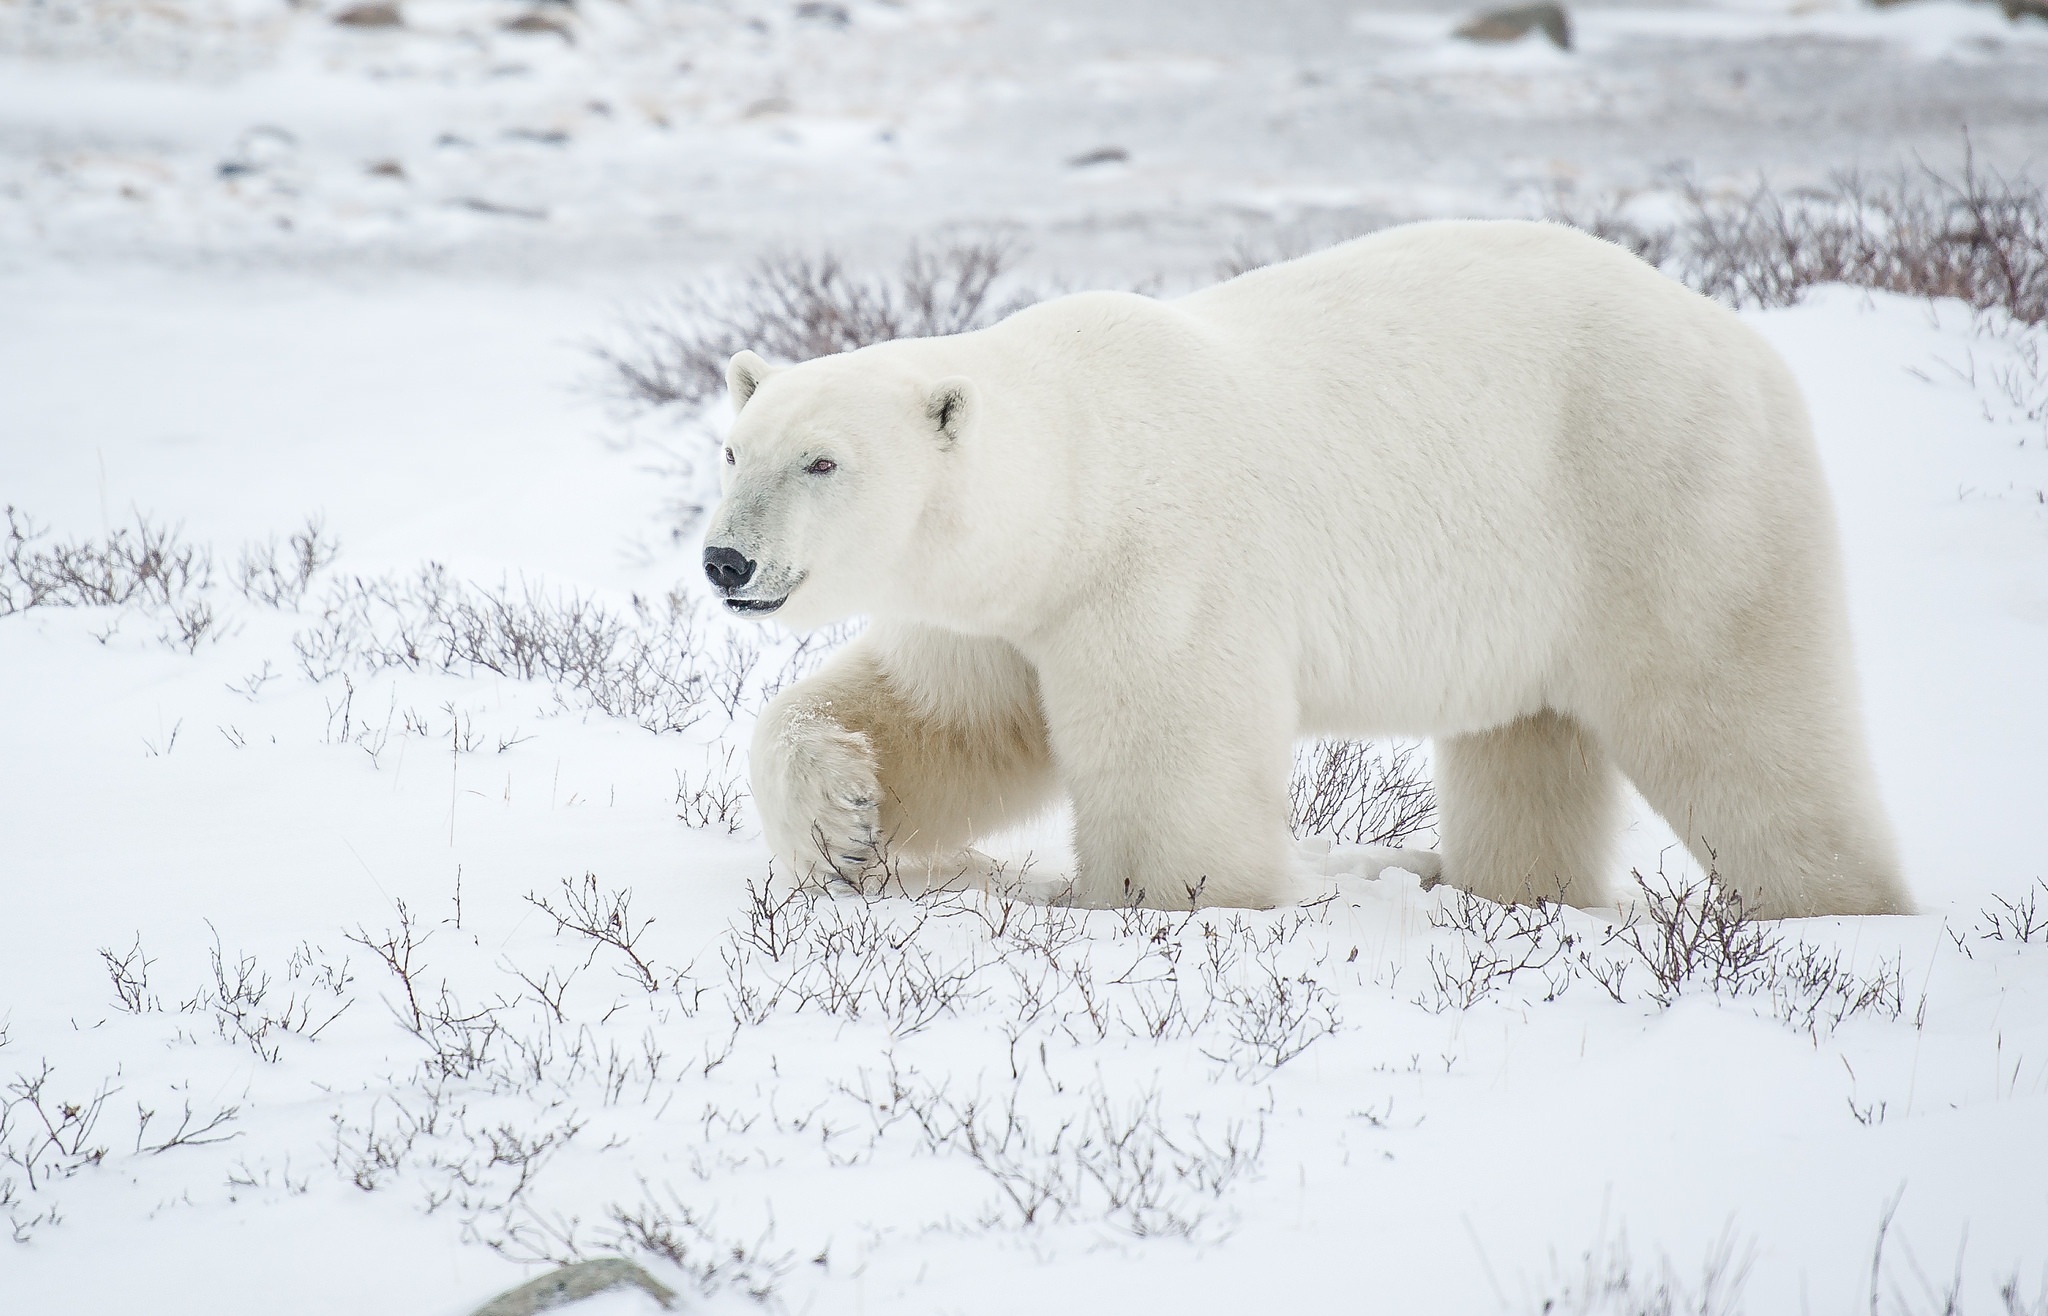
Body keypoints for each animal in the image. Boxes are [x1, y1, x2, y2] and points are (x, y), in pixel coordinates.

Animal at [708, 218, 1916, 916]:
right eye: (733, 448)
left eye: (822, 460)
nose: (726, 558)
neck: (1084, 465)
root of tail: (1741, 340)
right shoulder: (1007, 608)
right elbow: (948, 718)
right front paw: (843, 824)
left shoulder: (1158, 571)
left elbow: (1170, 769)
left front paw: (1155, 904)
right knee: (1526, 742)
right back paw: (1509, 891)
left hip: (1659, 492)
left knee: (1739, 723)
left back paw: (1836, 909)